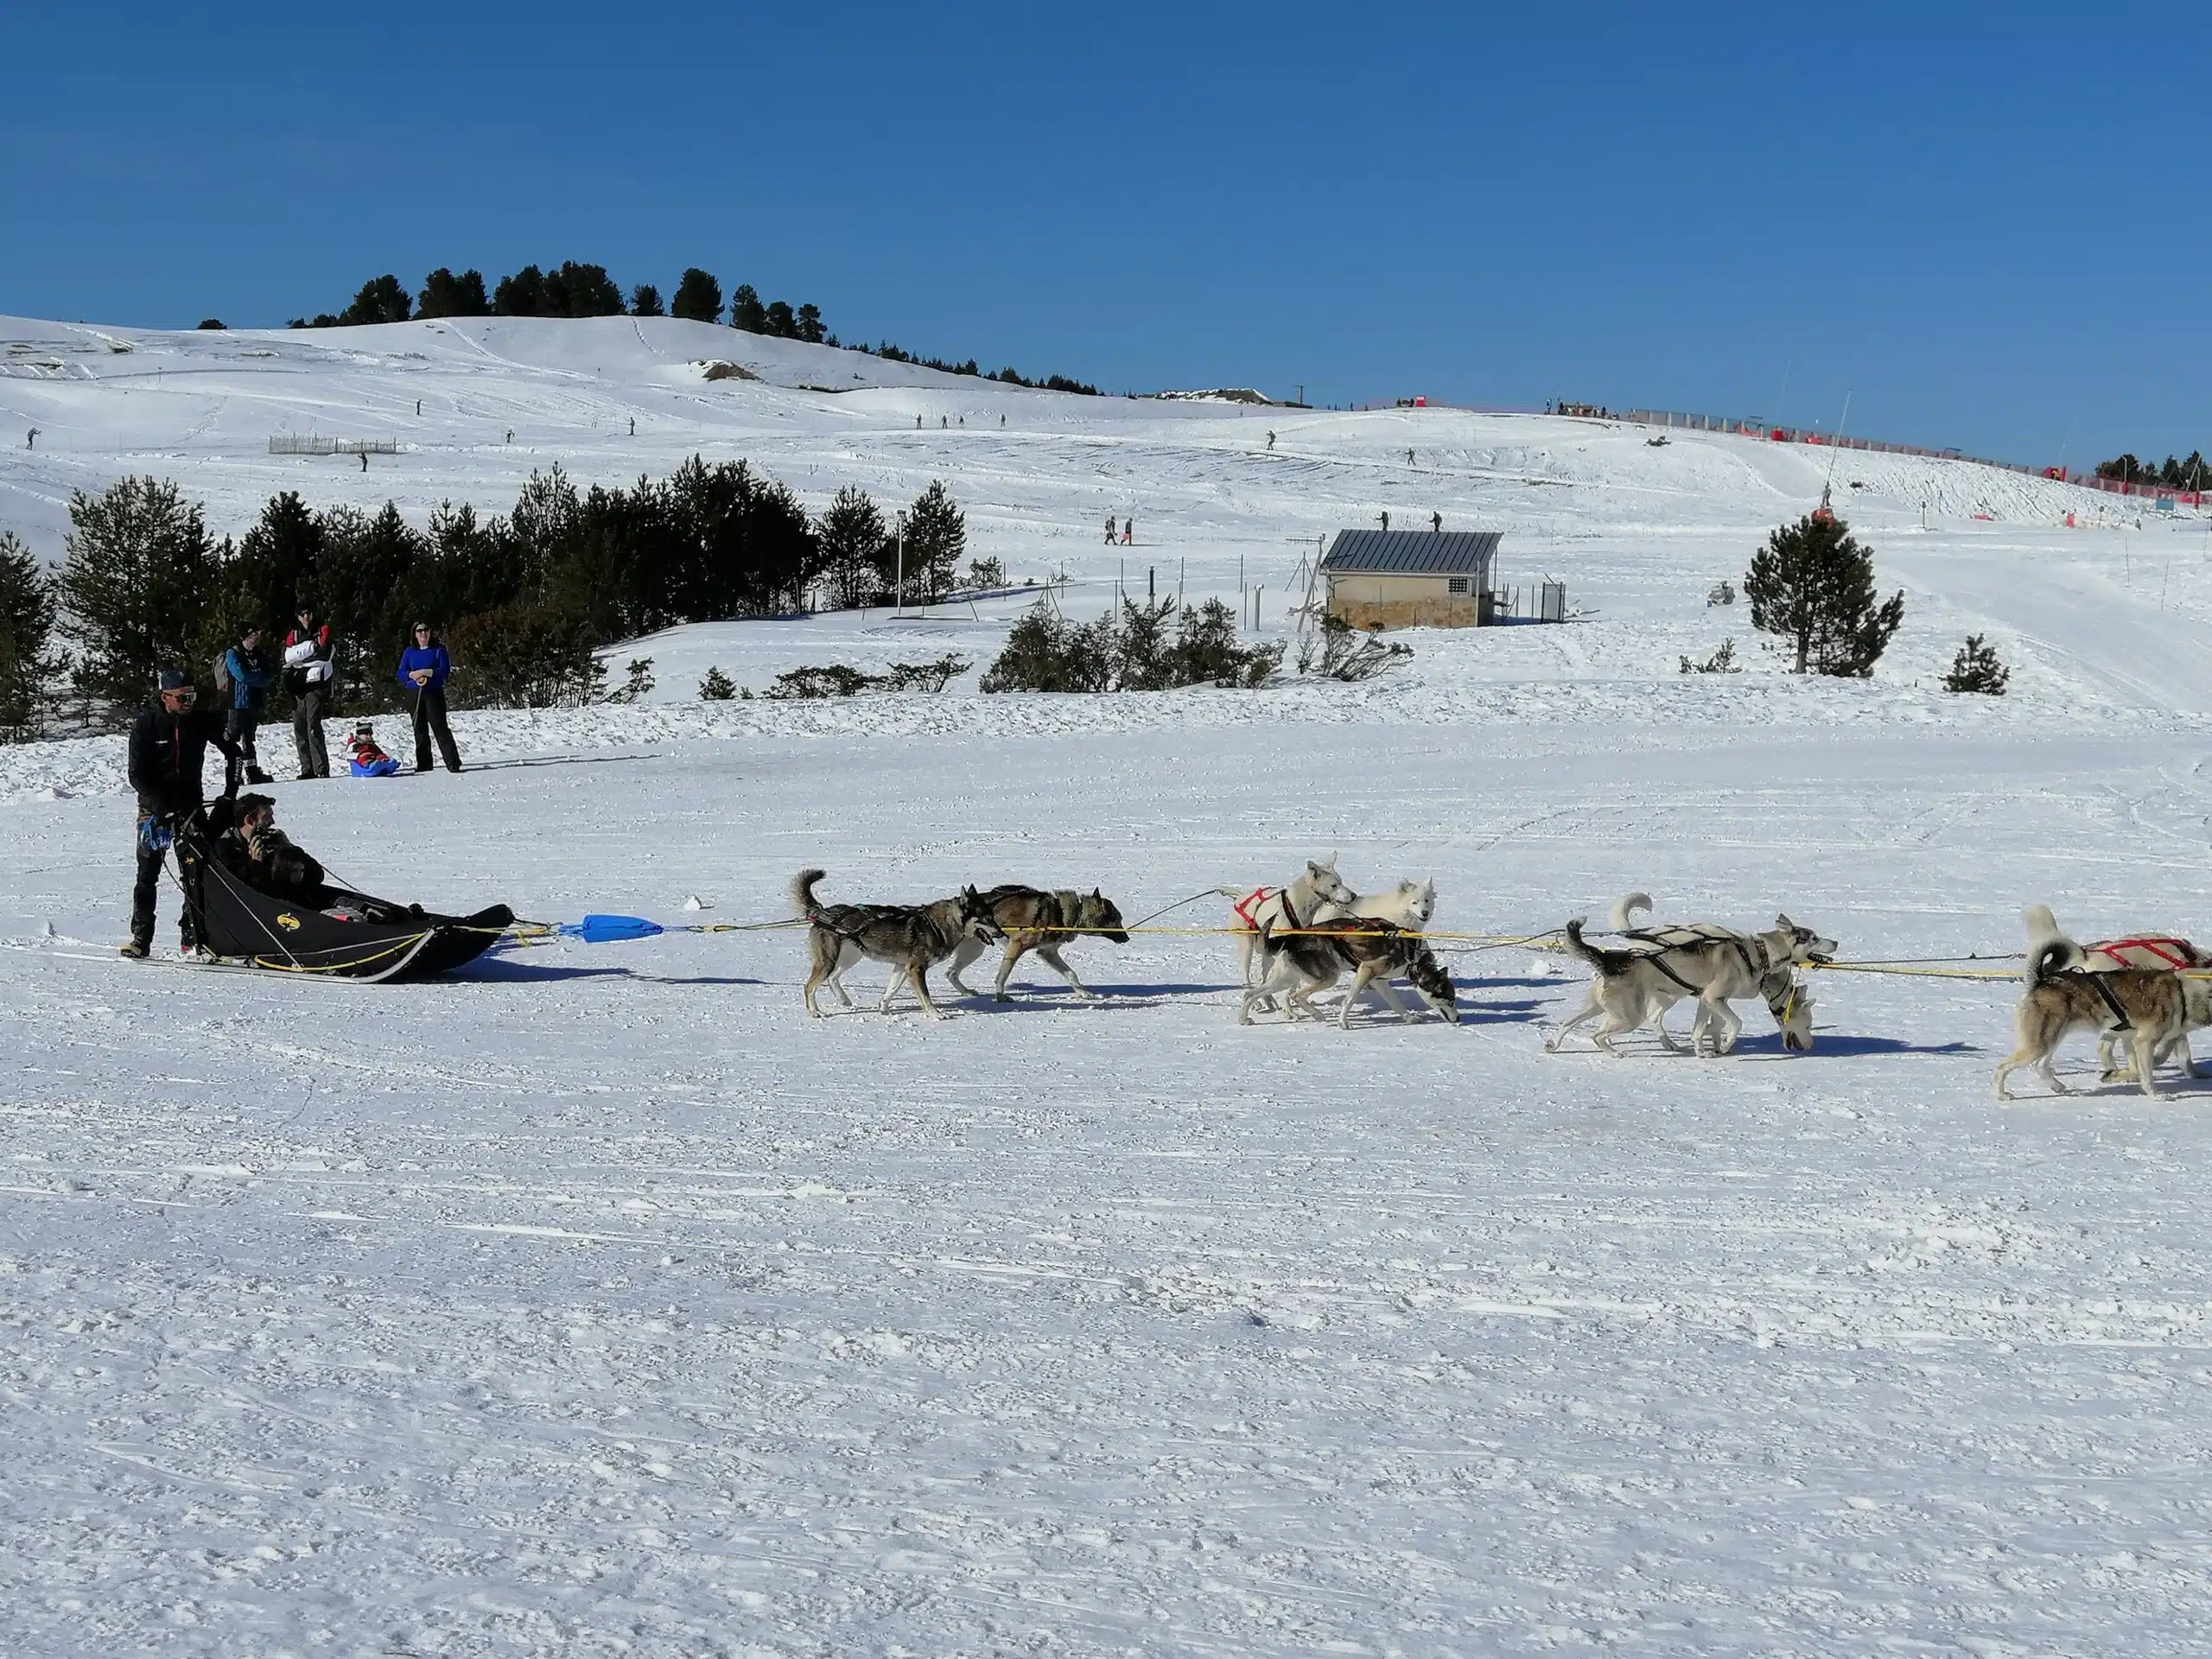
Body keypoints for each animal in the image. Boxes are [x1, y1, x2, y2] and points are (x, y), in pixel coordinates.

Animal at [791, 875, 1000, 1021]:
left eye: (992, 916)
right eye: (987, 918)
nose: (1001, 933)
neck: (936, 925)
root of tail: (822, 912)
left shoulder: (902, 967)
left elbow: (890, 991)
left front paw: (883, 1008)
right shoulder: (916, 969)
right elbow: (926, 995)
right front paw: (936, 1014)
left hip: (850, 957)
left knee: (833, 978)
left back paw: (844, 1001)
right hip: (829, 961)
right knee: (809, 986)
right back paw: (815, 1012)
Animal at [942, 889, 1132, 1008]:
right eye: (1117, 919)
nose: (1127, 938)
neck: (1062, 913)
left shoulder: (1047, 953)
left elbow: (1071, 974)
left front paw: (1084, 994)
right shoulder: (1016, 946)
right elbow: (1002, 976)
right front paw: (1000, 996)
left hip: (973, 951)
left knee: (951, 973)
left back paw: (967, 992)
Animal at [1238, 925, 1459, 1026]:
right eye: (1451, 1000)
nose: (1458, 1018)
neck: (1414, 956)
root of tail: (1292, 937)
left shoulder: (1379, 981)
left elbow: (1395, 1002)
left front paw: (1409, 1018)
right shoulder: (1366, 970)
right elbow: (1350, 999)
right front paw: (1343, 1023)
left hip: (1284, 980)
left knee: (1250, 994)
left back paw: (1243, 1020)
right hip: (1328, 977)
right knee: (1296, 995)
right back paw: (1317, 1015)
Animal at [1539, 915, 1831, 1057]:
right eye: (1814, 938)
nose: (1836, 942)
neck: (1758, 953)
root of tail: (1612, 958)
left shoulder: (1708, 1001)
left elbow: (1704, 1029)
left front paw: (1707, 1049)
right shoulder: (1714, 999)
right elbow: (1734, 1024)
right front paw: (1725, 1045)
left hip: (1600, 1007)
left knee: (1567, 1023)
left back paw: (1554, 1044)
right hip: (1630, 1016)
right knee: (1598, 1035)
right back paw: (1614, 1052)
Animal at [1991, 938, 2212, 1106]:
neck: (2184, 991)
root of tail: (2041, 981)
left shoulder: (2142, 1038)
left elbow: (2174, 1059)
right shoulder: (2143, 1042)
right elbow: (2146, 1073)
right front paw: (2155, 1095)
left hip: (2051, 1040)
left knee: (2040, 1066)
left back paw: (2058, 1086)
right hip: (2039, 1044)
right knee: (2002, 1067)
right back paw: (2001, 1095)